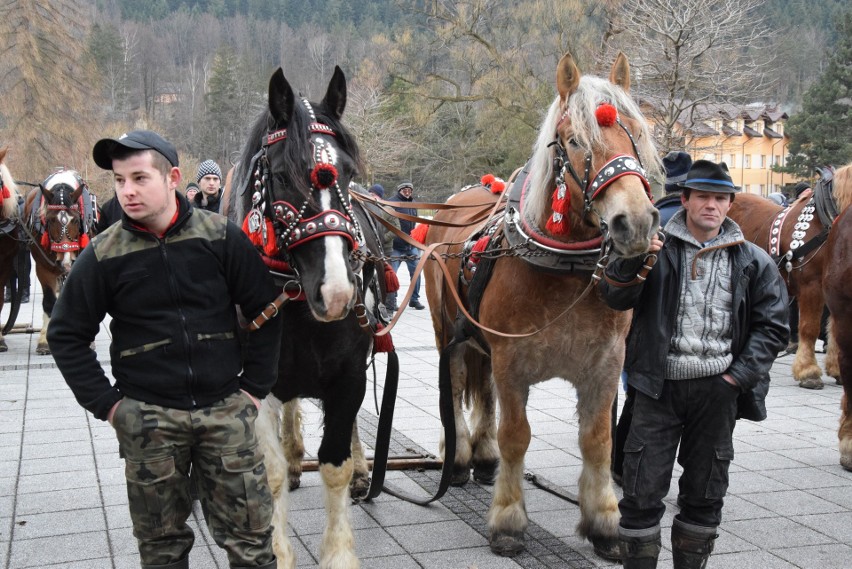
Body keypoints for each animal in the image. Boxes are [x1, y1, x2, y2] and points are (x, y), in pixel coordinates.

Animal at [24, 171, 96, 352]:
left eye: (76, 220)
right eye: (50, 220)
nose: (66, 260)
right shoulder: (43, 267)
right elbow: (49, 301)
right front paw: (44, 341)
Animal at [226, 64, 386, 564]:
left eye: (348, 173)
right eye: (280, 175)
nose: (336, 292)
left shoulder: (349, 375)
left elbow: (335, 462)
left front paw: (338, 553)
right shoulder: (253, 385)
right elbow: (270, 471)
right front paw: (277, 552)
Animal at [424, 53, 660, 560]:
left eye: (639, 131)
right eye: (575, 141)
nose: (634, 222)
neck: (564, 266)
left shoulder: (605, 365)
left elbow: (598, 440)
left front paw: (604, 523)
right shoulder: (513, 361)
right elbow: (517, 436)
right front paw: (509, 521)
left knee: (483, 390)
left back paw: (484, 457)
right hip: (447, 330)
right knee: (456, 383)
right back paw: (459, 459)